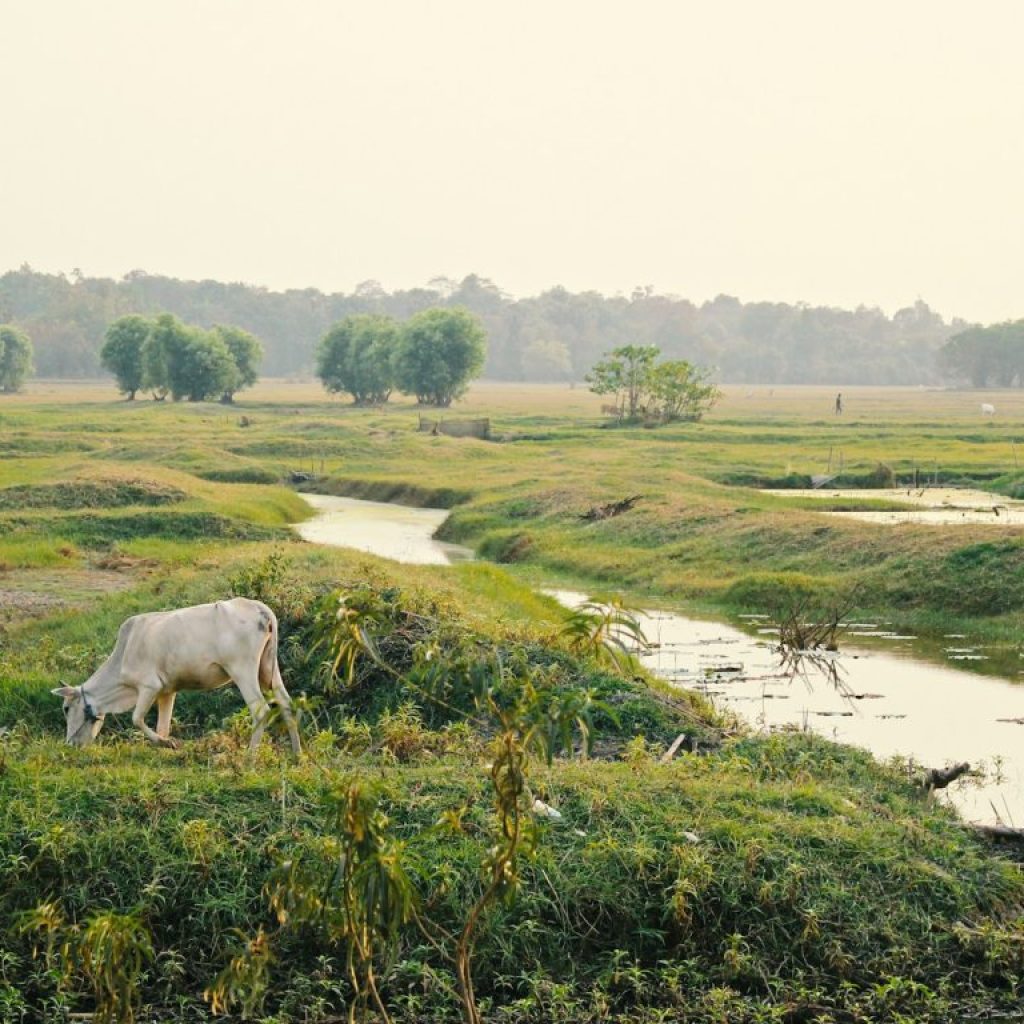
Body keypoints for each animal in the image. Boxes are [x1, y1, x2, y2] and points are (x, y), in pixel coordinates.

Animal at [52, 598, 301, 753]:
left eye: (66, 708)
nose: (70, 744)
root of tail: (261, 610)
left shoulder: (149, 686)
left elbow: (136, 718)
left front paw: (169, 744)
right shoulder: (167, 691)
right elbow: (163, 725)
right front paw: (163, 744)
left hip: (243, 670)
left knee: (261, 710)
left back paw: (249, 758)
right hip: (268, 669)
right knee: (286, 704)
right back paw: (297, 755)